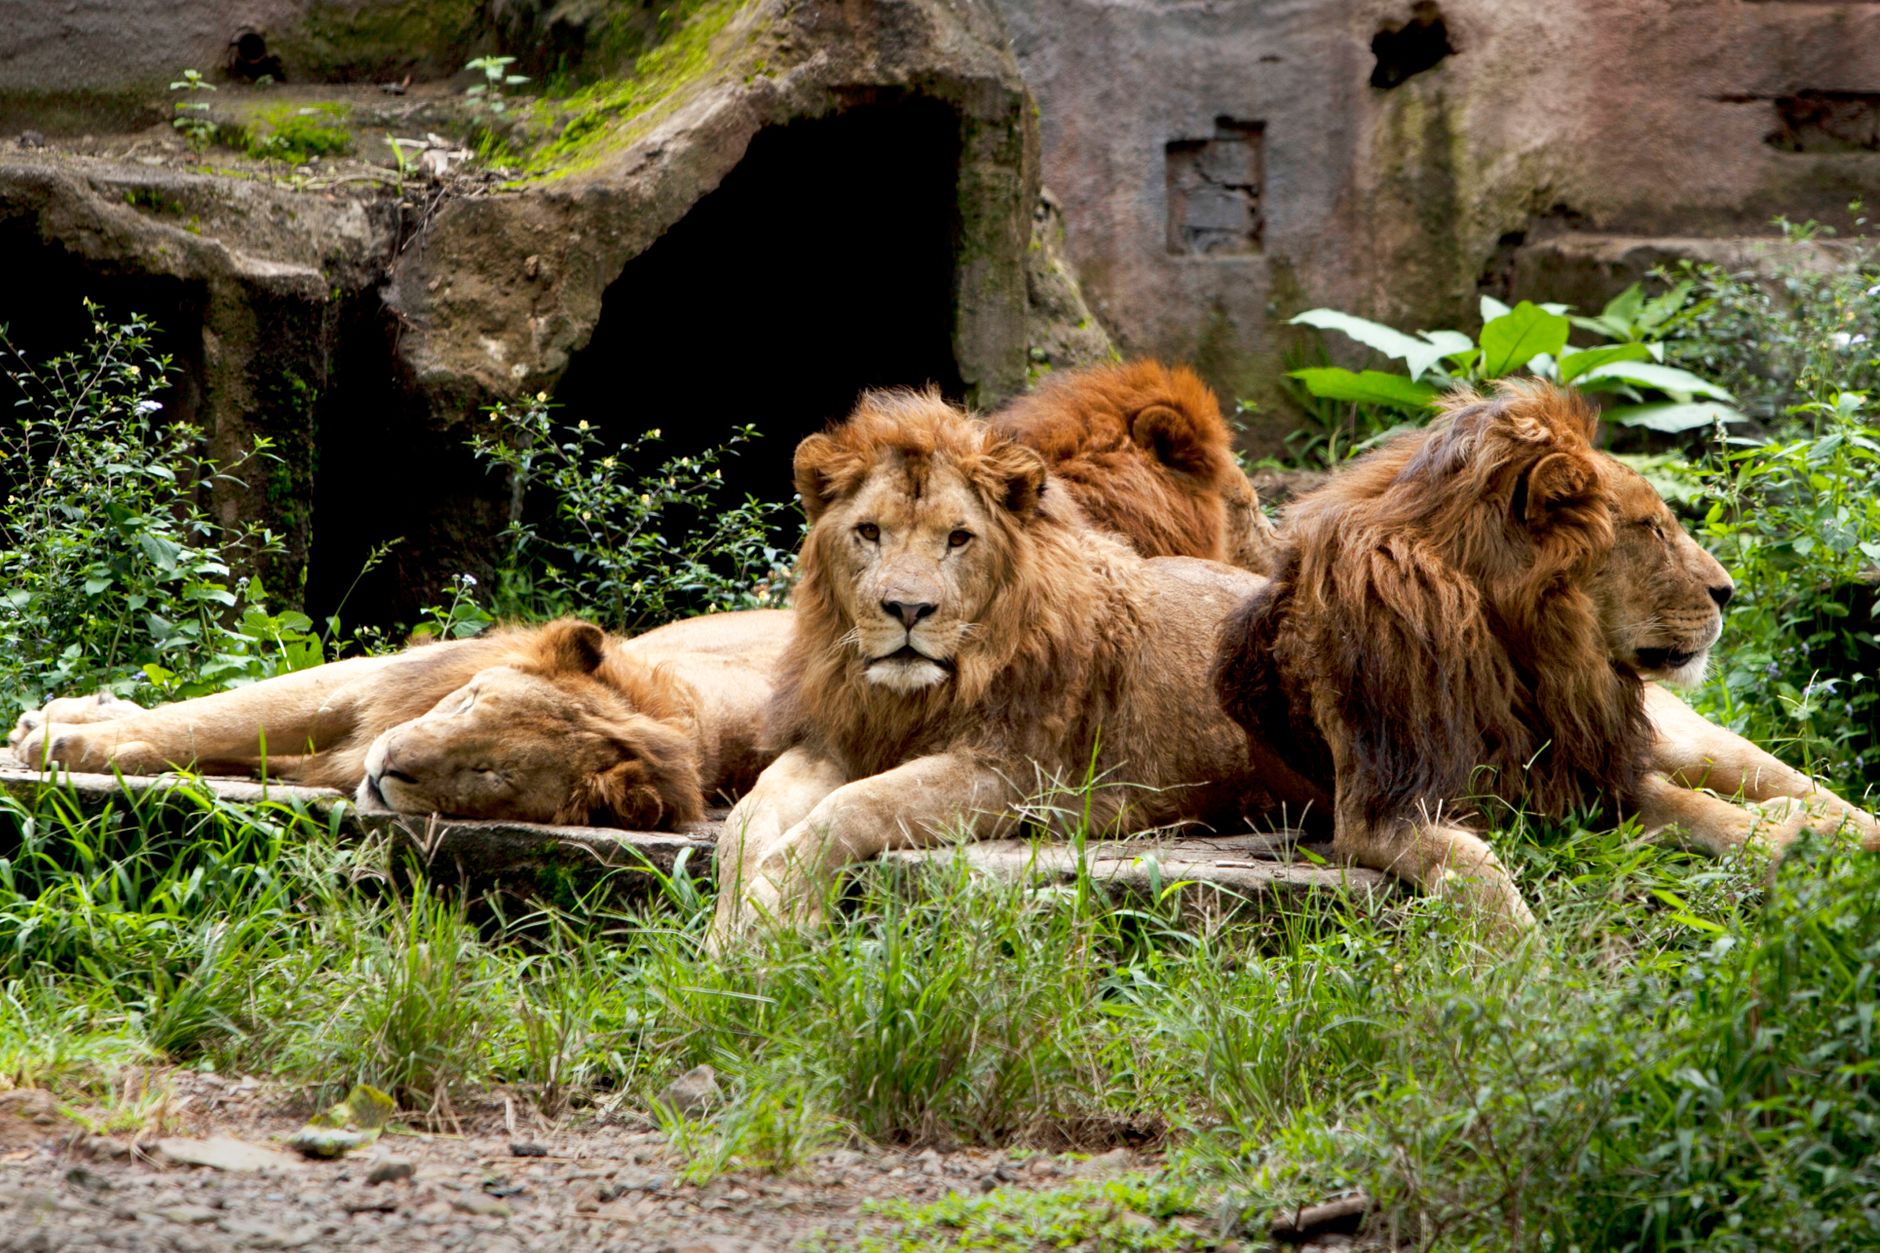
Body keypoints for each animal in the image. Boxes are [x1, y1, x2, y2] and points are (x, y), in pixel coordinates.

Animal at [9, 610, 790, 830]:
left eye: (490, 773)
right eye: (470, 700)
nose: (387, 765)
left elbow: (208, 736)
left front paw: (70, 743)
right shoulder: (368, 681)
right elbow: (212, 717)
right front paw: (57, 735)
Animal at [709, 388, 1269, 944]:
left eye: (958, 538)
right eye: (869, 532)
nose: (907, 609)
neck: (905, 699)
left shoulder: (1011, 774)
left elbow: (858, 803)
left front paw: (774, 907)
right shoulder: (831, 741)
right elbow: (744, 820)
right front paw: (727, 928)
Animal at [1213, 381, 1880, 928]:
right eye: (1650, 528)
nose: (1728, 591)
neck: (1516, 653)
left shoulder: (1596, 772)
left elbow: (1706, 811)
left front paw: (1805, 839)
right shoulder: (1384, 804)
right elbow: (1475, 870)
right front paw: (1519, 961)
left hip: (1695, 742)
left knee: (1800, 786)